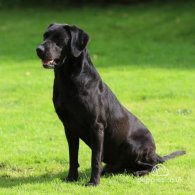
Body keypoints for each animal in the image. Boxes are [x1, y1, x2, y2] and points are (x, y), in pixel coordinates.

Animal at [36, 23, 186, 186]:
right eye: (45, 36)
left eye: (59, 39)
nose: (38, 49)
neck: (68, 79)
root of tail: (156, 153)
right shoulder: (69, 127)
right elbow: (73, 157)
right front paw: (71, 178)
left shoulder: (96, 126)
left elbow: (95, 159)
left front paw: (93, 182)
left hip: (132, 145)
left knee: (154, 165)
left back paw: (138, 172)